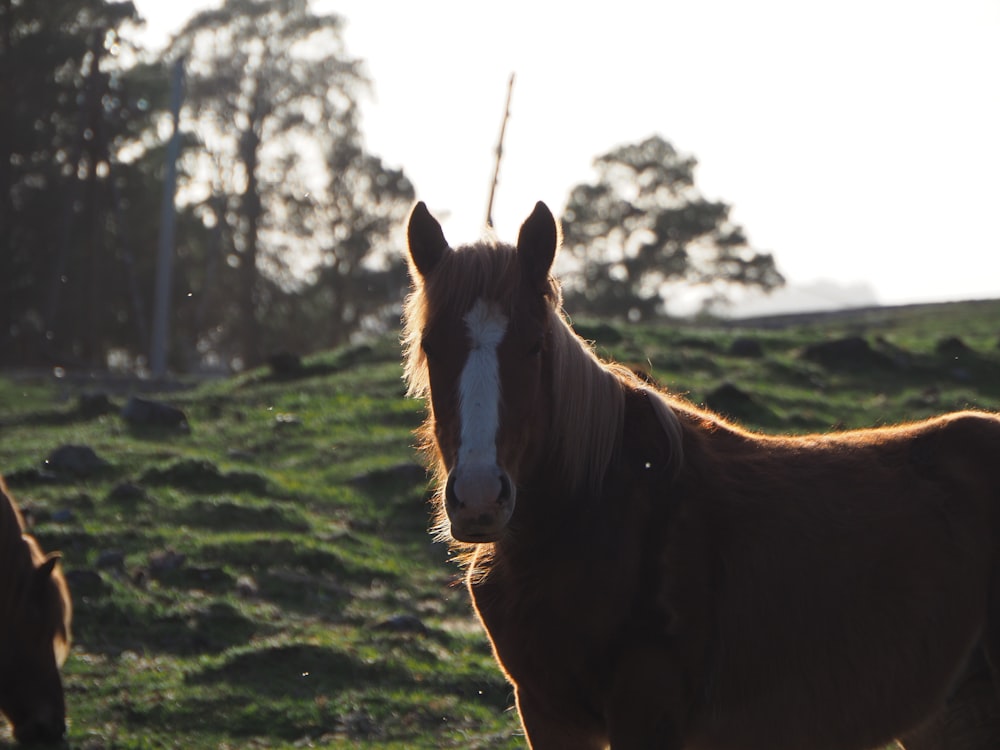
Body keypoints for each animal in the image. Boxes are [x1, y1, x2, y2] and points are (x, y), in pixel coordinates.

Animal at [402, 200, 1000, 750]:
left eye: (534, 345)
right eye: (432, 345)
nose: (480, 499)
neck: (597, 517)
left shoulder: (645, 710)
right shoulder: (546, 712)